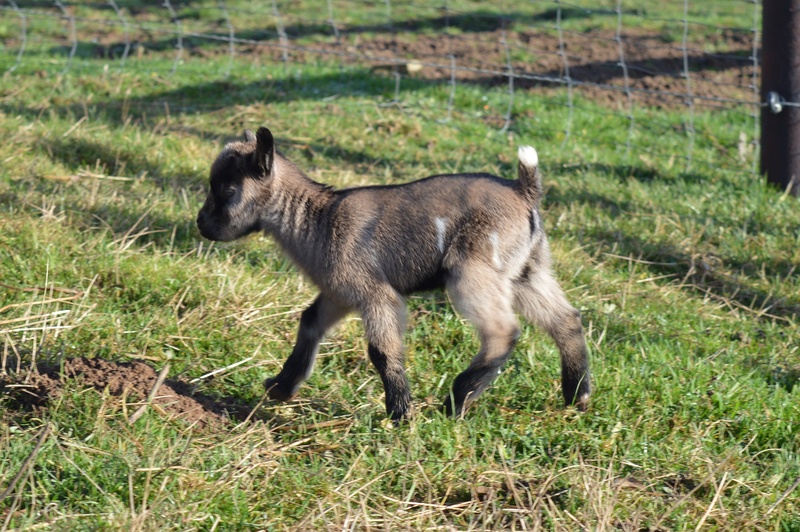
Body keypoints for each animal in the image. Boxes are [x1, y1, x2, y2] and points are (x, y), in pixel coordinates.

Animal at [197, 129, 592, 420]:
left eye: (228, 190)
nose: (201, 225)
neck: (318, 219)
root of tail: (524, 191)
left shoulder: (375, 292)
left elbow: (381, 351)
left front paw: (400, 413)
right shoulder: (339, 293)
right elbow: (309, 322)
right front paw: (281, 387)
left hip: (472, 270)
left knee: (503, 331)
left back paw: (458, 399)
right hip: (527, 270)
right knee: (566, 320)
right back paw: (577, 396)